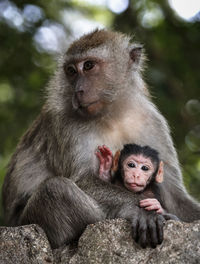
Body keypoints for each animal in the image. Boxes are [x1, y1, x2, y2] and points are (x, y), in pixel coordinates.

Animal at [1, 29, 200, 250]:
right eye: (71, 71)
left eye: (88, 66)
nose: (78, 91)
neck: (113, 115)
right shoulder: (64, 124)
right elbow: (83, 179)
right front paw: (141, 210)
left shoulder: (152, 121)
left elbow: (175, 195)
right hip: (27, 219)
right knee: (55, 189)